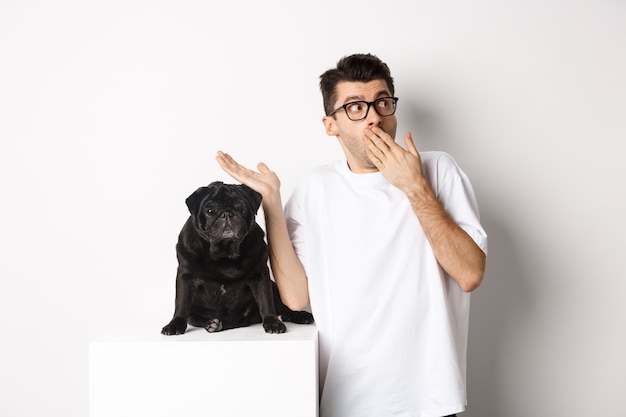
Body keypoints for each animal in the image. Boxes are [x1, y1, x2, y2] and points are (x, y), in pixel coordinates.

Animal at [161, 180, 312, 334]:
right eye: (209, 211)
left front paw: (272, 322)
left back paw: (299, 315)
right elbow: (181, 303)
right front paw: (175, 324)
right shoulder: (186, 276)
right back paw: (213, 324)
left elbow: (266, 300)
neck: (225, 252)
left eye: (241, 208)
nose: (227, 213)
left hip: (275, 288)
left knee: (283, 307)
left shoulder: (260, 275)